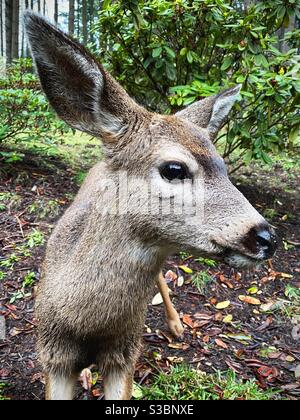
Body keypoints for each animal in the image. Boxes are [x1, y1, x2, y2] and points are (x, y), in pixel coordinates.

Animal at [24, 13, 276, 400]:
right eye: (173, 169)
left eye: (224, 165)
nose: (266, 237)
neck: (84, 324)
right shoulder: (53, 357)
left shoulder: (124, 355)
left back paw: (175, 324)